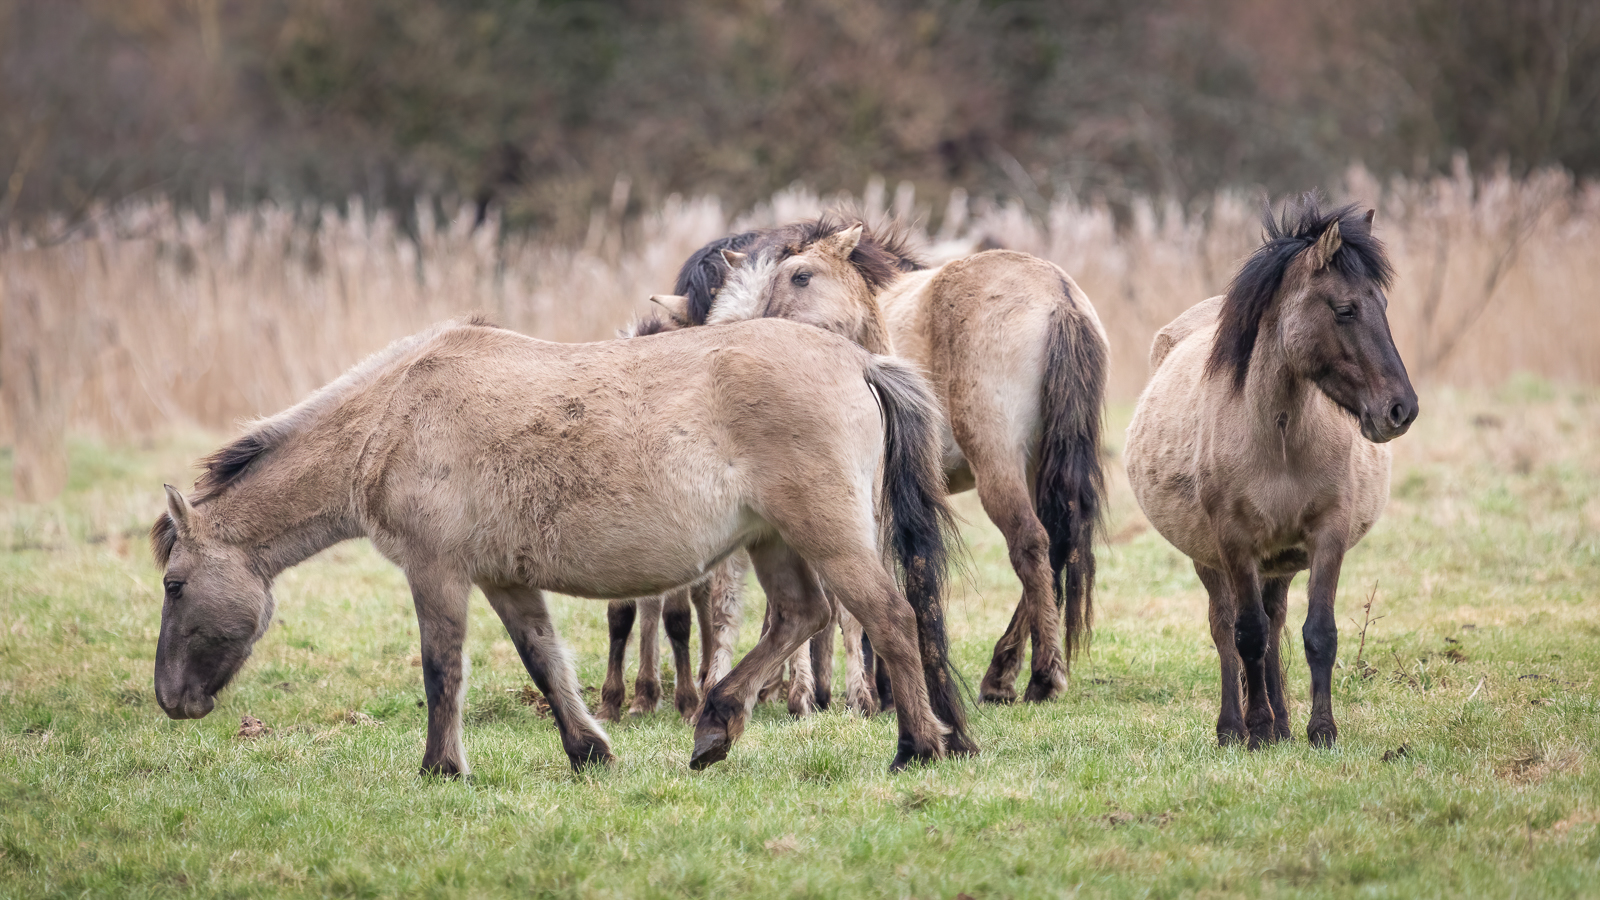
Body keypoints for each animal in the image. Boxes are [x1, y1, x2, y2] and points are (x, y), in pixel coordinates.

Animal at [149, 315, 975, 775]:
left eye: (173, 584)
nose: (171, 700)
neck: (395, 415)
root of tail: (859, 362)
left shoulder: (437, 573)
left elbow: (442, 672)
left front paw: (441, 767)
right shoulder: (506, 582)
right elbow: (544, 663)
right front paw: (589, 750)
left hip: (824, 536)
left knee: (888, 619)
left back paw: (917, 747)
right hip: (776, 540)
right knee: (801, 617)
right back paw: (716, 725)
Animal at [651, 215, 1109, 708]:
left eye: (799, 277)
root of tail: (1057, 294)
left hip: (997, 464)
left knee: (1030, 544)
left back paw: (1041, 675)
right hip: (1041, 465)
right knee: (1057, 544)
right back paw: (1003, 672)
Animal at [1123, 196, 1418, 749]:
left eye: (1384, 307)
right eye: (1345, 310)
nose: (1400, 410)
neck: (1278, 440)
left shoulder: (1327, 534)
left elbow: (1318, 633)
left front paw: (1320, 730)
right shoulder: (1234, 542)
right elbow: (1248, 636)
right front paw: (1255, 728)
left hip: (1279, 562)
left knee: (1277, 619)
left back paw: (1282, 723)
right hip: (1212, 559)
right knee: (1226, 629)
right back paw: (1234, 728)